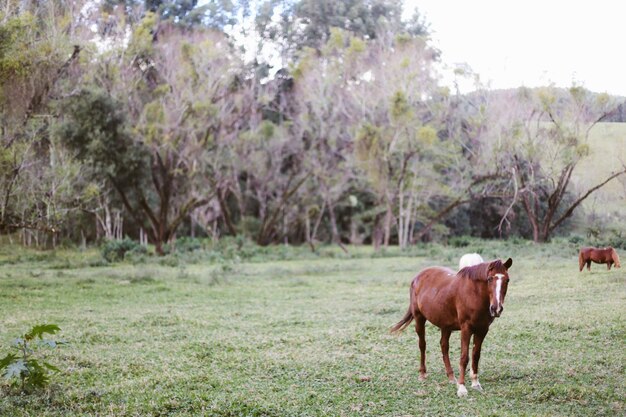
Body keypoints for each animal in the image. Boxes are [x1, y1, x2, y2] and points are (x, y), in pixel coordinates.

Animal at [390, 256, 512, 396]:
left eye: (507, 280)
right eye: (490, 279)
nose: (496, 308)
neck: (474, 294)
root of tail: (418, 277)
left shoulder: (482, 329)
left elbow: (475, 356)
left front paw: (475, 383)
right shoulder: (466, 328)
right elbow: (464, 357)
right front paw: (462, 388)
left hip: (445, 325)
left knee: (444, 346)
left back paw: (451, 377)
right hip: (419, 318)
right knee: (422, 345)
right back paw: (422, 374)